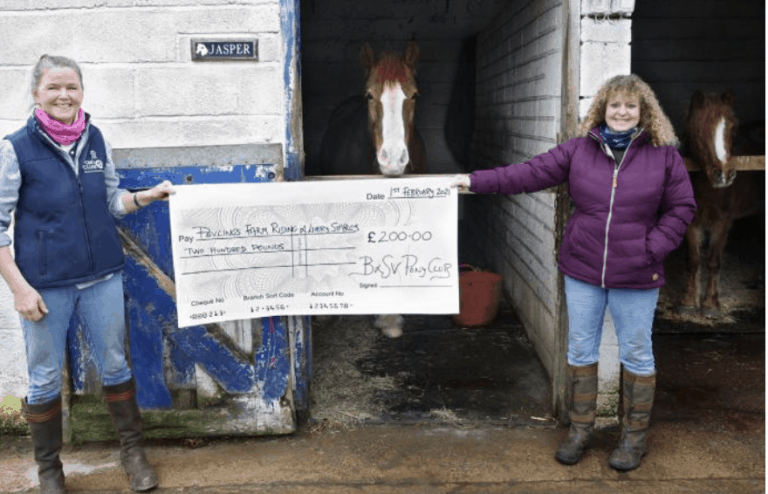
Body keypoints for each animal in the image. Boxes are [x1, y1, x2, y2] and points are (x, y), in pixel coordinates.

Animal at [680, 90, 760, 318]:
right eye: (698, 129)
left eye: (733, 128)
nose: (724, 174)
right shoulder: (691, 222)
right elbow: (694, 260)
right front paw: (688, 302)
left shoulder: (723, 223)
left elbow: (713, 262)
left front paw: (710, 304)